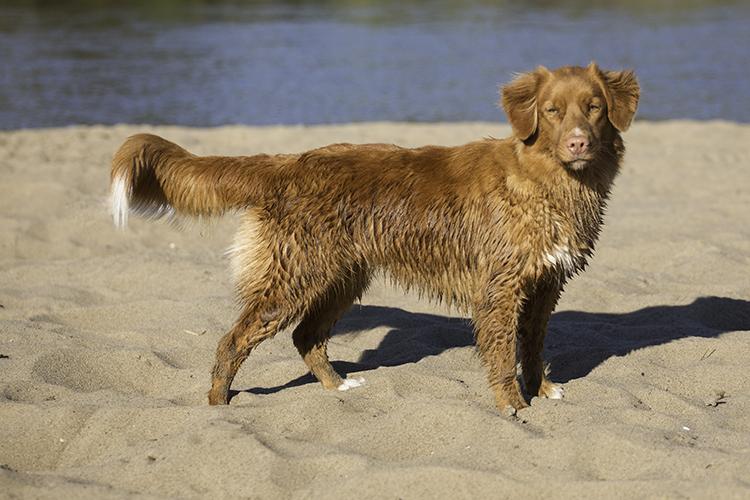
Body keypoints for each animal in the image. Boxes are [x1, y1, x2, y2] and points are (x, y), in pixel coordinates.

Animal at [111, 63, 640, 414]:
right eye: (551, 111)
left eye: (594, 108)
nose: (578, 142)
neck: (549, 182)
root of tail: (287, 163)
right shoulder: (501, 287)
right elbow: (502, 351)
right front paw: (513, 403)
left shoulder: (547, 282)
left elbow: (531, 344)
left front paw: (542, 389)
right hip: (292, 278)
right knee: (233, 339)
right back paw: (218, 403)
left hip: (342, 277)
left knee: (305, 336)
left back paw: (337, 387)